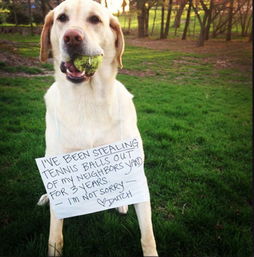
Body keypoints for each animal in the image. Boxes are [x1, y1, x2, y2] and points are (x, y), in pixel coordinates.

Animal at [38, 0, 158, 254]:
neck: (88, 100)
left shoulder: (134, 169)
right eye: (62, 18)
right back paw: (45, 198)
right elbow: (55, 232)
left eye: (95, 19)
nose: (72, 37)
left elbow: (147, 234)